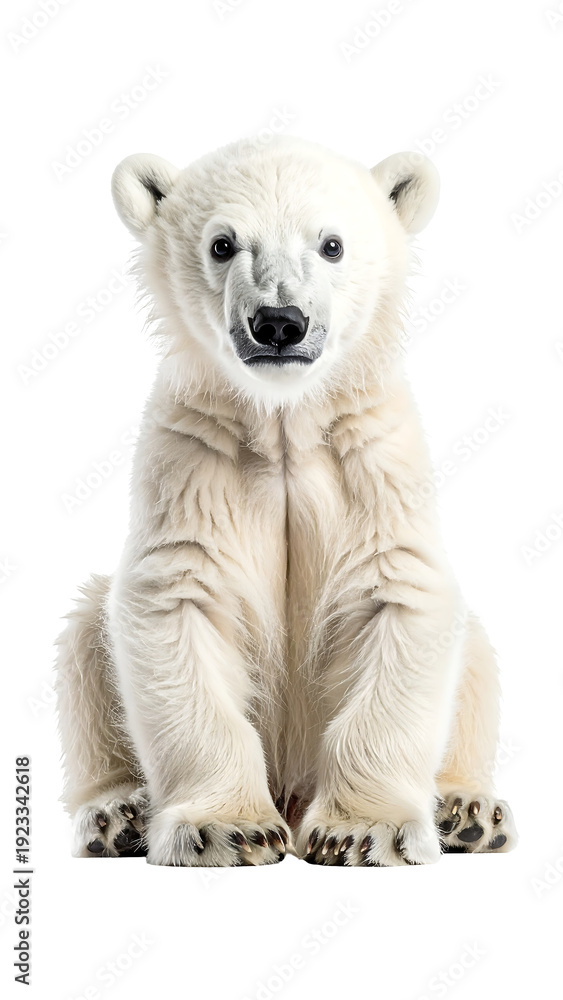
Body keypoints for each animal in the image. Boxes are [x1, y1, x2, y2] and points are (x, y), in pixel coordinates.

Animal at [55, 135, 517, 866]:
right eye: (222, 244)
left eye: (331, 244)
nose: (278, 322)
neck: (282, 419)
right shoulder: (194, 461)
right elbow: (175, 601)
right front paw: (228, 829)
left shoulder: (371, 462)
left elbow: (399, 594)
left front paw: (364, 831)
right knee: (83, 638)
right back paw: (117, 813)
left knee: (473, 655)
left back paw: (466, 811)